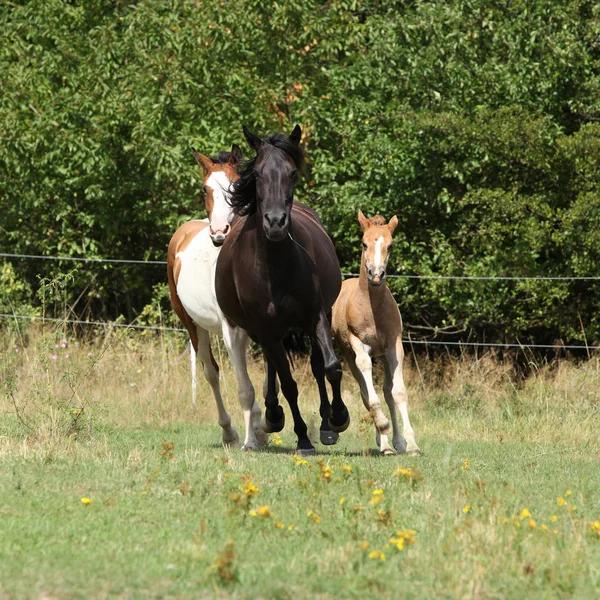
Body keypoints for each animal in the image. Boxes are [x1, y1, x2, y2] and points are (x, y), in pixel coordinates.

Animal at [165, 146, 266, 450]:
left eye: (237, 186)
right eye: (204, 188)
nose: (219, 232)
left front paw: (263, 427)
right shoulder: (230, 328)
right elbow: (243, 386)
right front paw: (250, 441)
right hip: (193, 325)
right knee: (211, 372)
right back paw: (229, 432)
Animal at [216, 126, 350, 454]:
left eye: (292, 172)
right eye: (258, 174)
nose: (275, 222)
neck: (275, 268)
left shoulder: (316, 316)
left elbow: (330, 367)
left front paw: (338, 418)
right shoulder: (264, 327)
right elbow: (288, 383)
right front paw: (302, 438)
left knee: (315, 366)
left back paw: (325, 425)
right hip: (262, 331)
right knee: (273, 367)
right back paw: (274, 415)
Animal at [330, 211, 420, 454]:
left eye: (390, 245)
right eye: (364, 243)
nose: (376, 275)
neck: (372, 310)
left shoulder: (393, 346)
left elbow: (397, 393)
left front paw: (411, 444)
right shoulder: (357, 343)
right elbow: (369, 392)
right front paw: (383, 427)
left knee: (387, 392)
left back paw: (396, 443)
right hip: (348, 354)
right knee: (365, 392)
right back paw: (385, 442)